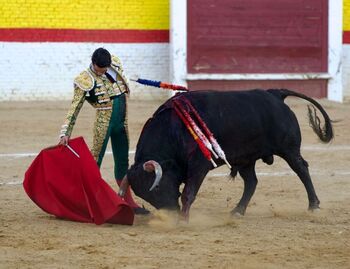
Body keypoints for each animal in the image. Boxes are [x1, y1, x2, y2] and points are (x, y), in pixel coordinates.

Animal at [120, 89, 334, 219]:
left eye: (156, 188)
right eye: (146, 196)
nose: (171, 214)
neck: (173, 129)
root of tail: (274, 94)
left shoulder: (199, 164)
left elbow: (188, 193)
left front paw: (184, 220)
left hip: (288, 149)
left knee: (302, 169)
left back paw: (314, 205)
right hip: (246, 159)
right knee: (251, 182)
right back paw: (238, 211)